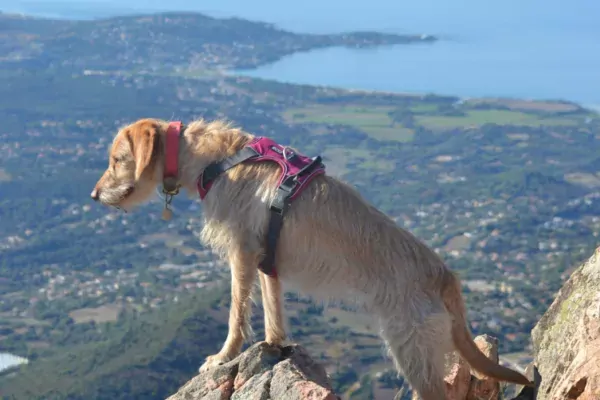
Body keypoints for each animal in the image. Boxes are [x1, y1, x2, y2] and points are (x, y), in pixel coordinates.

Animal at [91, 117, 532, 398]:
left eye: (116, 159)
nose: (93, 196)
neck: (216, 158)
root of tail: (444, 274)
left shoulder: (241, 253)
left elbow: (236, 311)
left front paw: (224, 355)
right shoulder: (266, 258)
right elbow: (272, 305)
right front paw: (274, 343)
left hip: (414, 353)